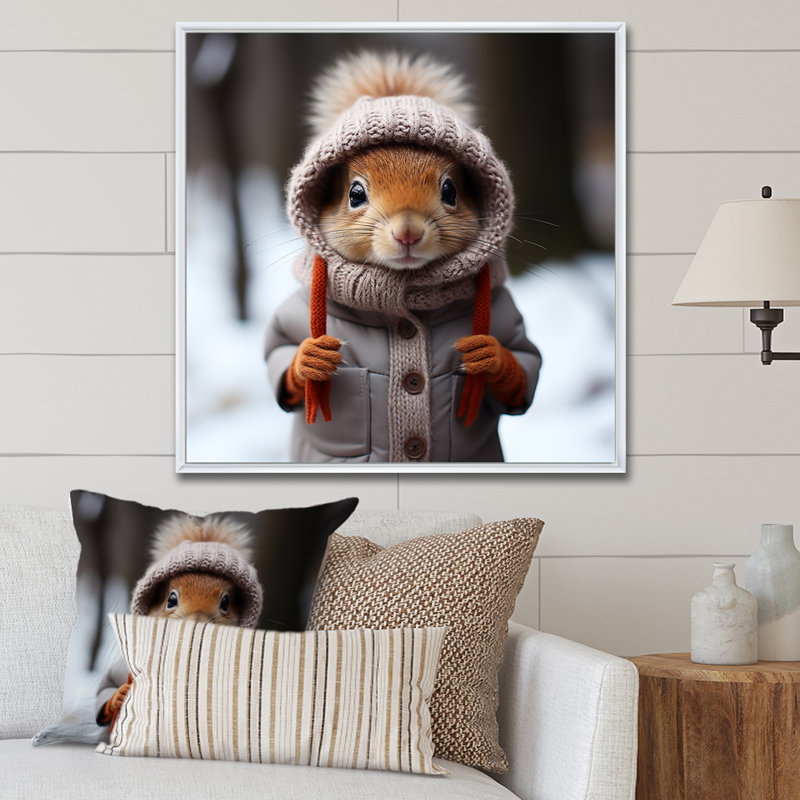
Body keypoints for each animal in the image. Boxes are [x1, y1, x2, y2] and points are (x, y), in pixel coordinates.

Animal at [266, 51, 542, 462]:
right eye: (355, 194)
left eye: (450, 190)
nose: (407, 233)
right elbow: (280, 353)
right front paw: (307, 361)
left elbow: (525, 362)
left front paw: (494, 360)